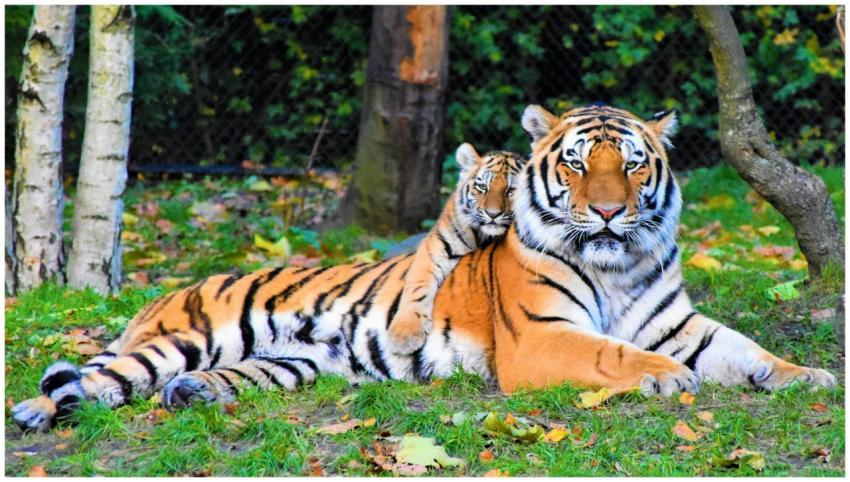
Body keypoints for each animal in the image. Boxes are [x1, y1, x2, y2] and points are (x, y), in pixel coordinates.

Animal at [386, 143, 524, 354]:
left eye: (511, 190)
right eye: (482, 187)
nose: (493, 214)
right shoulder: (436, 245)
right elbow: (418, 285)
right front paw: (404, 334)